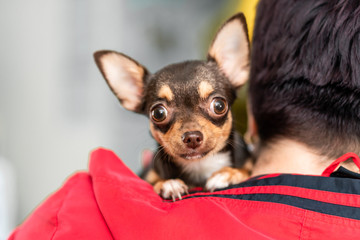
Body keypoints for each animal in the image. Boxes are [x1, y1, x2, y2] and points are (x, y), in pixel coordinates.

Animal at [93, 13, 250, 201]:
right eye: (158, 113)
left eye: (219, 105)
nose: (192, 137)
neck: (200, 166)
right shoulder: (147, 174)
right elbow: (153, 181)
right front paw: (169, 183)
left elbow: (246, 170)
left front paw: (228, 173)